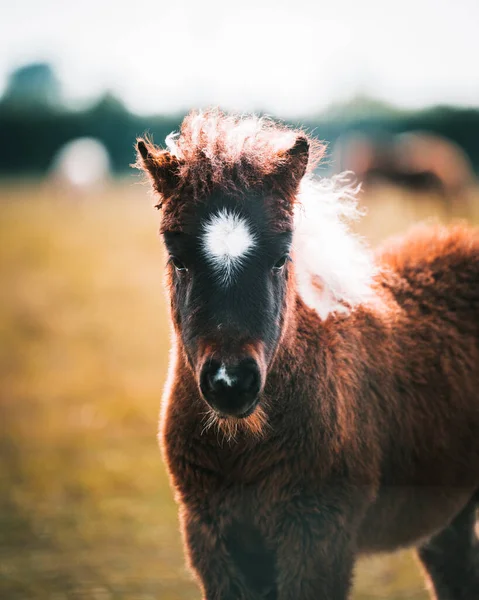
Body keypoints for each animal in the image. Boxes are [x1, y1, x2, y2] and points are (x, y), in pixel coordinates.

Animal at [135, 109, 479, 600]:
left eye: (281, 257)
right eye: (177, 258)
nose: (230, 383)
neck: (242, 448)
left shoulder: (317, 537)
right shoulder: (210, 539)